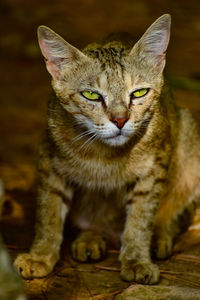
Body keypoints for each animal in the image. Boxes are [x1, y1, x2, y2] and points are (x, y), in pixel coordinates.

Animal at [13, 14, 200, 284]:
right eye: (91, 95)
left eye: (139, 92)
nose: (120, 120)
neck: (103, 155)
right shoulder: (49, 159)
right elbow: (48, 213)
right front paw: (40, 255)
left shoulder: (155, 167)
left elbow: (140, 219)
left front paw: (136, 259)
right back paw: (90, 239)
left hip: (189, 141)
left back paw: (159, 236)